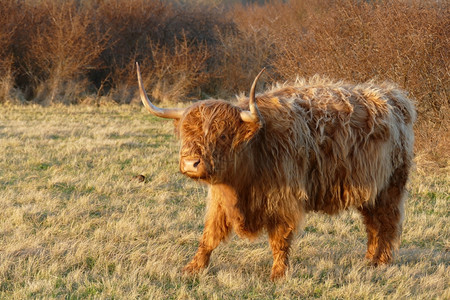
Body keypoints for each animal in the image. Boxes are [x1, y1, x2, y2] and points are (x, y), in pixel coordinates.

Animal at [136, 63, 414, 282]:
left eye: (223, 135)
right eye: (186, 133)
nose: (191, 163)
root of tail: (395, 97)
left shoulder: (283, 200)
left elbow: (280, 238)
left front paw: (278, 274)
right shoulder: (220, 200)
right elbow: (209, 235)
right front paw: (192, 267)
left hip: (391, 187)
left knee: (388, 222)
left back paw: (382, 262)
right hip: (371, 190)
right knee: (373, 224)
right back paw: (369, 260)